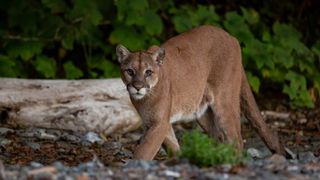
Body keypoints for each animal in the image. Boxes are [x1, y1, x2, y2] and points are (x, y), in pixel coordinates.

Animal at [116, 24, 286, 160]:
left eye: (148, 72)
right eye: (130, 71)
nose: (138, 86)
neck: (144, 99)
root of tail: (231, 37)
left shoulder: (159, 124)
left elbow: (143, 152)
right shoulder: (158, 123)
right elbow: (173, 146)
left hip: (225, 101)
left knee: (236, 140)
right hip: (201, 112)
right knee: (219, 137)